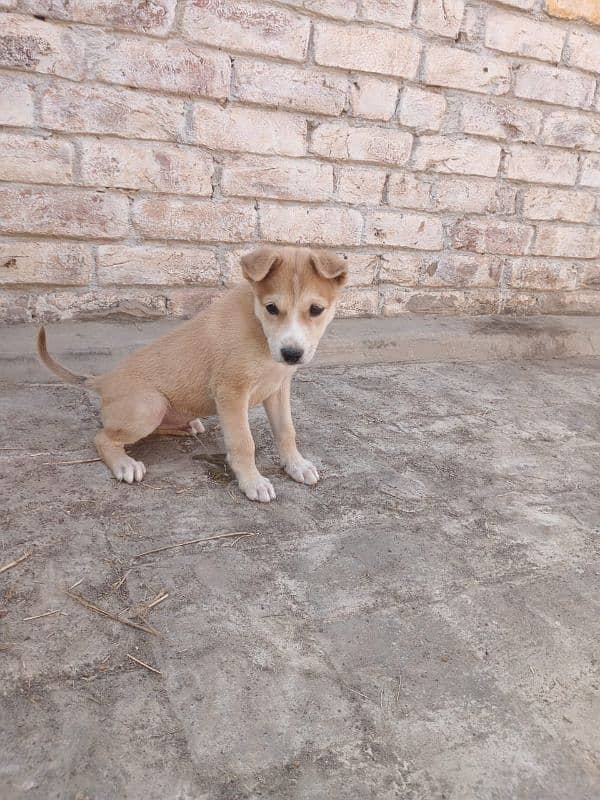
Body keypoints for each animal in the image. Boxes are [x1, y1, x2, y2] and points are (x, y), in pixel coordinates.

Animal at [37, 247, 346, 504]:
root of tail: (103, 380)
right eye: (272, 308)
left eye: (316, 310)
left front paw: (297, 465)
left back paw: (189, 426)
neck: (258, 326)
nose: (291, 354)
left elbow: (286, 431)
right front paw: (252, 482)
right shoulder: (231, 392)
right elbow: (243, 442)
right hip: (149, 405)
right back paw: (124, 464)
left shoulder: (278, 389)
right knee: (103, 437)